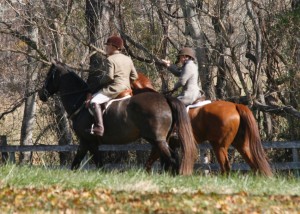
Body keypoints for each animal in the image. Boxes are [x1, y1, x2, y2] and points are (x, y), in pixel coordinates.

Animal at [38, 62, 197, 176]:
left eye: (49, 75)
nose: (41, 94)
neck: (80, 102)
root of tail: (164, 98)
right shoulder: (85, 142)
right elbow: (76, 163)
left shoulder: (90, 142)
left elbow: (98, 164)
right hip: (158, 139)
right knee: (167, 156)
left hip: (157, 139)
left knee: (171, 157)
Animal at [132, 72, 274, 176]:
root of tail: (235, 106)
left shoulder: (160, 143)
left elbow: (150, 162)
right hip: (240, 144)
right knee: (252, 162)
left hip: (219, 146)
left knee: (226, 167)